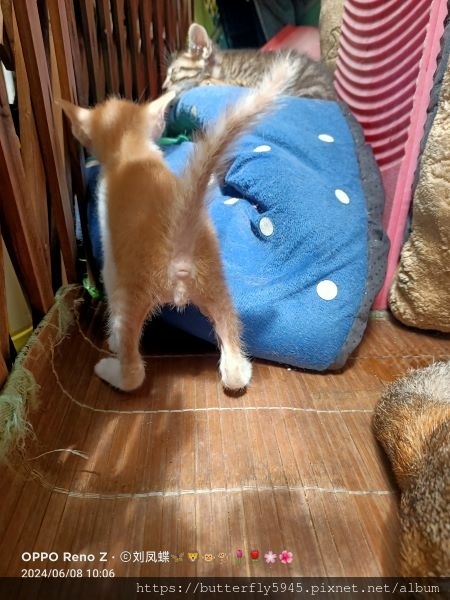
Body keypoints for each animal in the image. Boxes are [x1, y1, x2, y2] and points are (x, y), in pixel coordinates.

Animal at [60, 58, 295, 392]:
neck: (133, 152)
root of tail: (178, 244)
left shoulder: (111, 256)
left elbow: (108, 272)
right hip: (215, 282)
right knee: (233, 355)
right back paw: (237, 368)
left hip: (134, 290)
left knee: (133, 369)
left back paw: (112, 367)